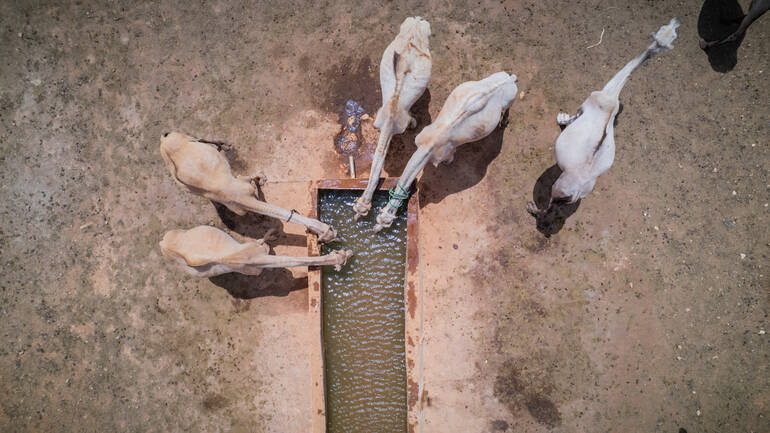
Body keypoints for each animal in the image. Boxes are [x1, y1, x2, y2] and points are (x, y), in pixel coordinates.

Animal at [372, 71, 516, 231]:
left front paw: (449, 163)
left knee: (506, 109)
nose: (375, 230)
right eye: (379, 216)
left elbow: (450, 157)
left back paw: (503, 121)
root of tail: (510, 78)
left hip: (511, 98)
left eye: (387, 223)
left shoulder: (446, 152)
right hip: (492, 77)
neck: (428, 145)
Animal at [520, 18, 680, 218]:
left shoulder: (583, 107)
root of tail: (577, 189)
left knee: (549, 207)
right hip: (586, 189)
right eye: (667, 32)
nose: (675, 24)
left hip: (558, 187)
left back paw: (531, 208)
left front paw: (561, 118)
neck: (610, 96)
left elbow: (572, 117)